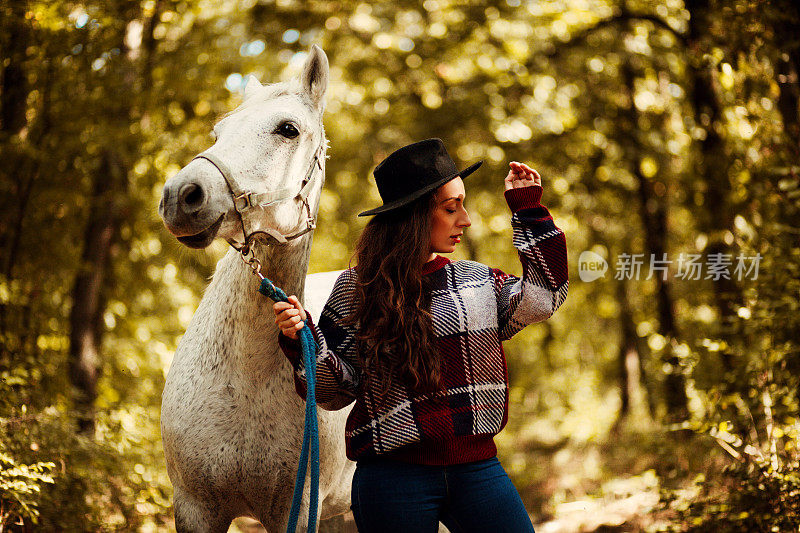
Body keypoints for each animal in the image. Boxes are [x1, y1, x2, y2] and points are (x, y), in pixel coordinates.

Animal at [158, 44, 354, 528]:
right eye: (219, 131)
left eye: (288, 129)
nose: (180, 196)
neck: (244, 378)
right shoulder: (194, 507)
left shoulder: (296, 511)